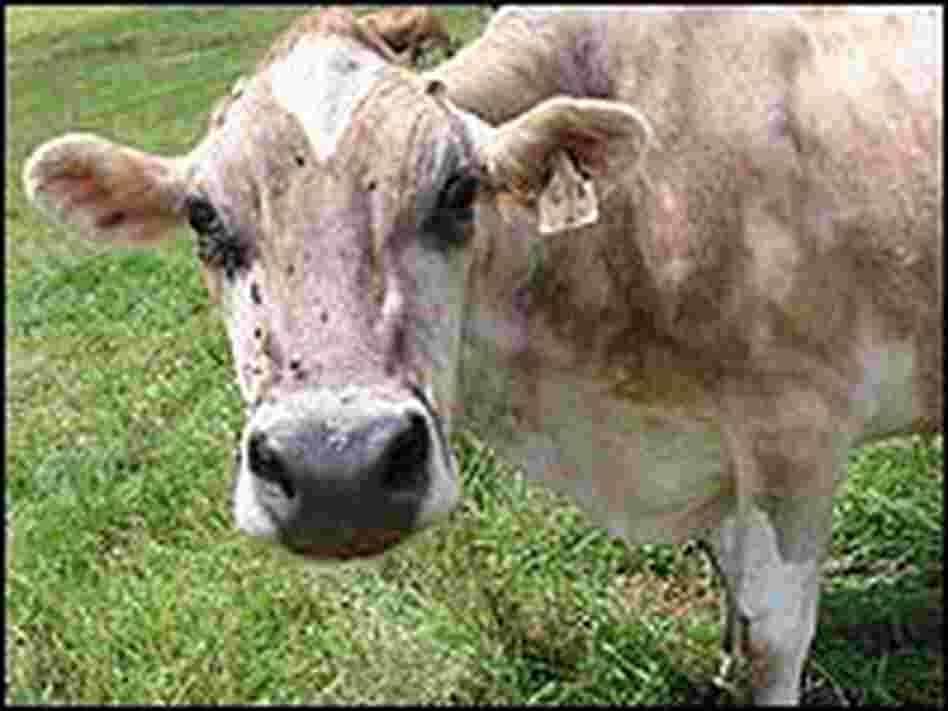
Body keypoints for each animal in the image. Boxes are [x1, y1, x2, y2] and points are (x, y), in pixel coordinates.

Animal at [22, 6, 942, 705]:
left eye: (460, 190)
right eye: (202, 216)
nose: (337, 469)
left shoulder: (796, 426)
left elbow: (771, 633)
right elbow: (730, 592)